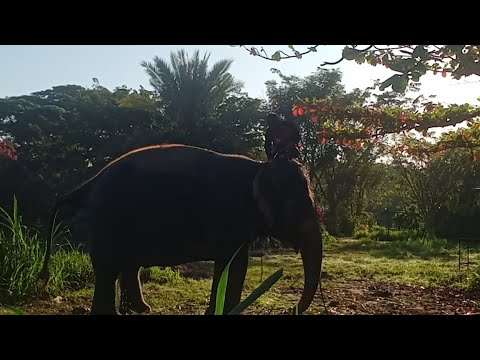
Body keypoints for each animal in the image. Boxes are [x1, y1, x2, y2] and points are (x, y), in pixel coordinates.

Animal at [37, 144, 322, 316]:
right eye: (298, 207)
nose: (289, 309)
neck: (258, 167)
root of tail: (89, 183)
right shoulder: (228, 215)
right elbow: (233, 264)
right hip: (108, 219)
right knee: (108, 268)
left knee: (127, 265)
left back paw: (142, 310)